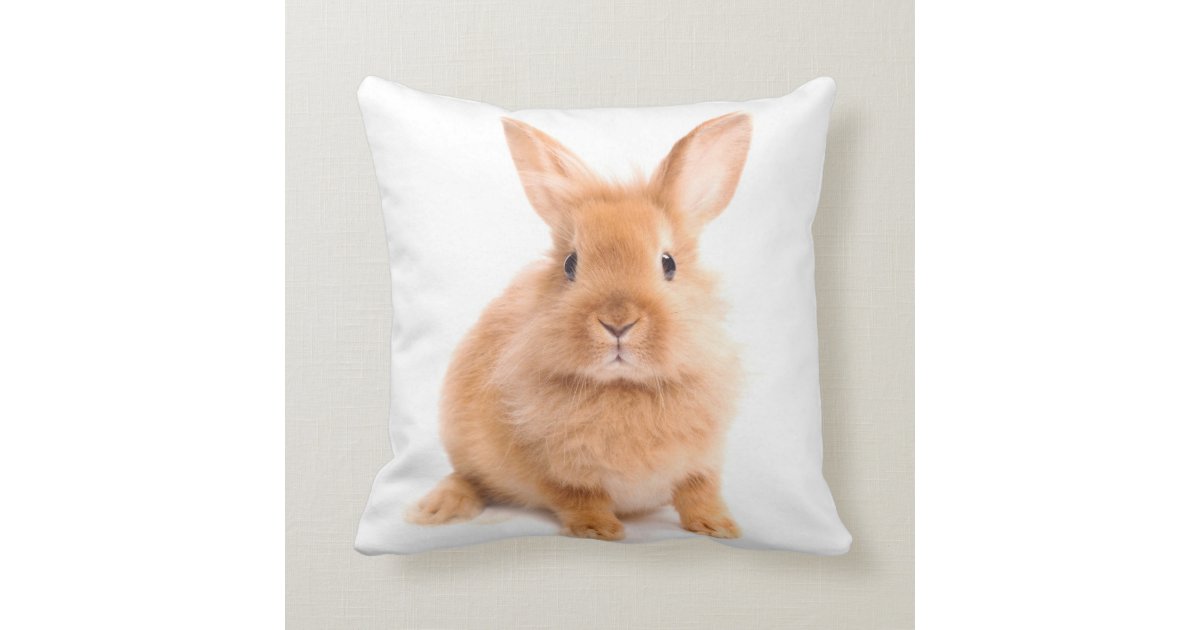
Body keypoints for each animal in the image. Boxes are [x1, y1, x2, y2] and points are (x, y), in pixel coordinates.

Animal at [407, 112, 752, 541]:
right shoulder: (554, 471)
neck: (623, 389)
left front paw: (718, 527)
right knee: (468, 478)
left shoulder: (703, 461)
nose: (617, 322)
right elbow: (579, 497)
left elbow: (699, 491)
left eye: (668, 263)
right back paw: (437, 509)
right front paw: (600, 531)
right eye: (570, 264)